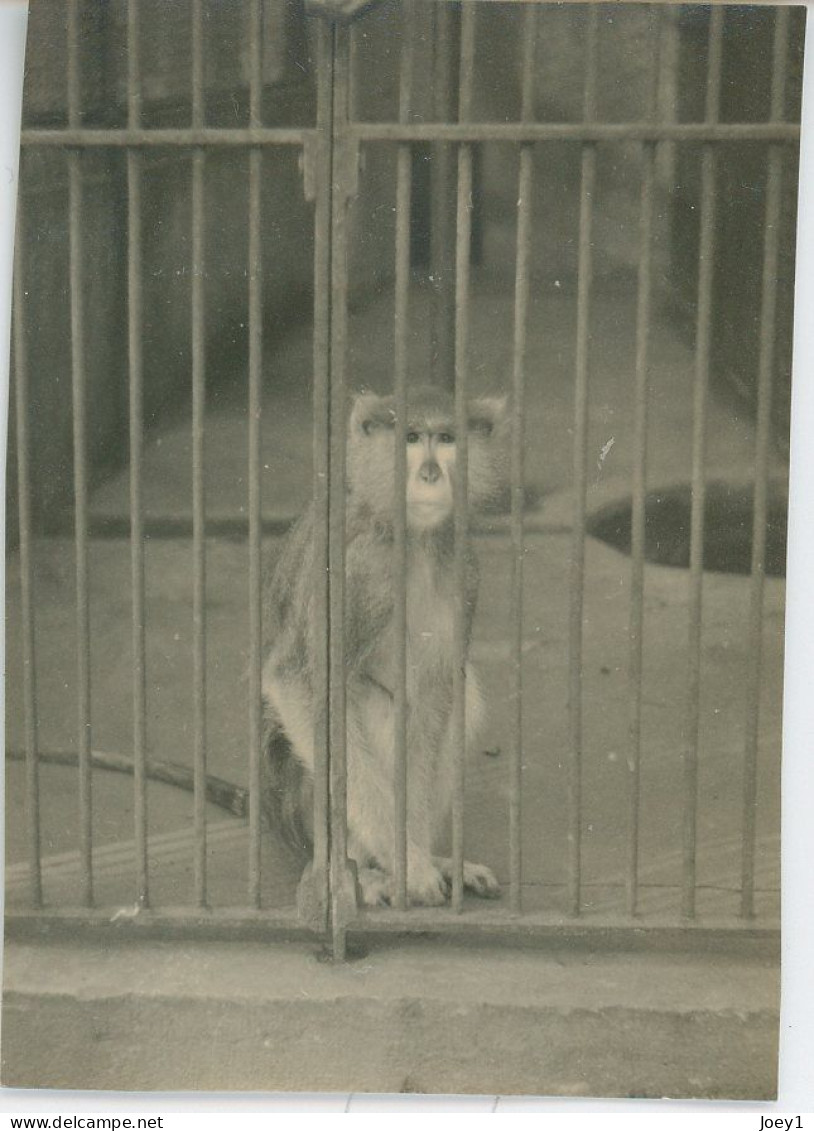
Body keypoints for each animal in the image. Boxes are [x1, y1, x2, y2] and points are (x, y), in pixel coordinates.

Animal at [261, 389, 506, 909]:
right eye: (410, 438)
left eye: (446, 438)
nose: (430, 474)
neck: (408, 534)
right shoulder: (361, 569)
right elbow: (299, 683)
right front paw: (407, 866)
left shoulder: (463, 568)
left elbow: (438, 693)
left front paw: (421, 857)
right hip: (304, 806)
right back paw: (366, 873)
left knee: (462, 692)